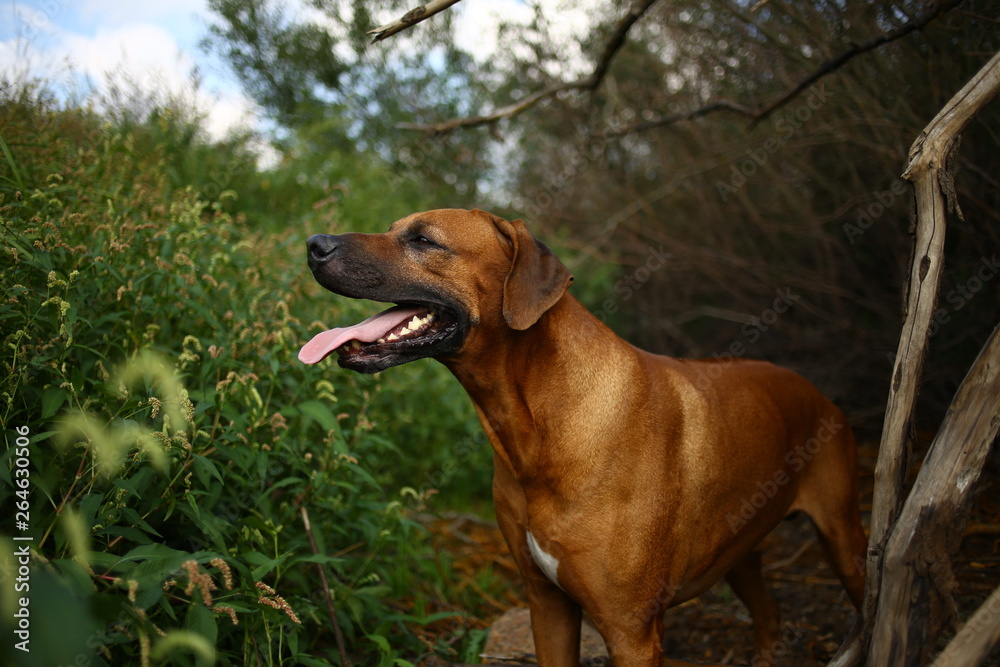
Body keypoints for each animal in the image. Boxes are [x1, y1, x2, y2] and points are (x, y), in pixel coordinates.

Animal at [296, 210, 868, 667]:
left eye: (423, 239)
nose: (314, 244)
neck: (534, 426)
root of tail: (815, 390)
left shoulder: (632, 635)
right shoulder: (547, 607)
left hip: (844, 539)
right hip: (741, 550)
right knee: (769, 617)